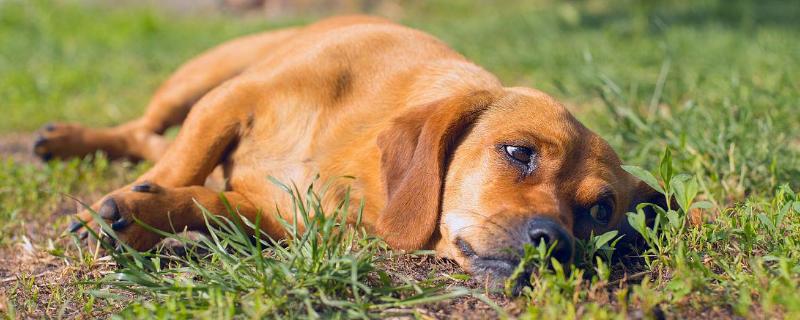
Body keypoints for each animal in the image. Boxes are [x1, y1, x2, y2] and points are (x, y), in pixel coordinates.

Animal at [34, 16, 664, 282]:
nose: (554, 243)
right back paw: (69, 141)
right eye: (518, 152)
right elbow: (184, 164)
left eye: (600, 211)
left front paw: (144, 210)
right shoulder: (231, 100)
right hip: (202, 77)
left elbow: (205, 201)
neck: (349, 163)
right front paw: (118, 211)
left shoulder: (268, 216)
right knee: (148, 129)